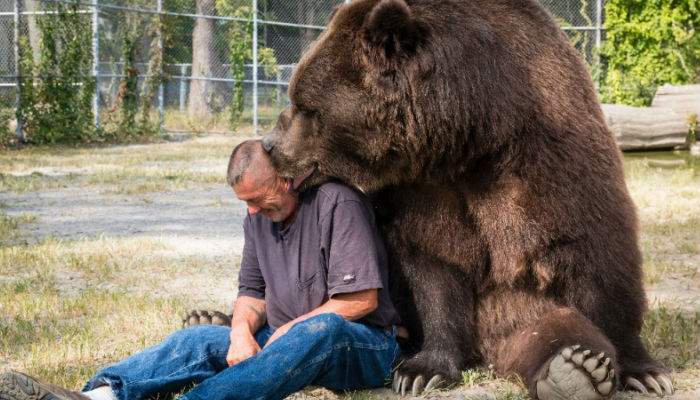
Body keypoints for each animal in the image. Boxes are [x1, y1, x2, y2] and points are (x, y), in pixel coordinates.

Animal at [186, 0, 672, 396]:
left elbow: (595, 258)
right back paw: (207, 316)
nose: (270, 145)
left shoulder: (546, 163)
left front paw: (640, 369)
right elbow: (433, 267)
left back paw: (576, 369)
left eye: (306, 106)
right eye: (295, 95)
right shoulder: (423, 192)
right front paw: (423, 370)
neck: (472, 139)